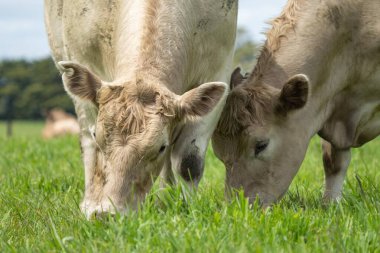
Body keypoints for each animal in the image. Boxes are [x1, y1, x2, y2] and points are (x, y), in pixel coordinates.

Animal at [44, 0, 238, 217]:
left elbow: (189, 161)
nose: (108, 213)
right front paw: (91, 205)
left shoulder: (218, 71)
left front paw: (186, 210)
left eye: (160, 147)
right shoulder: (83, 60)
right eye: (98, 136)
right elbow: (91, 148)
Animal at [212, 0, 380, 207]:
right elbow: (333, 161)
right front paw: (330, 204)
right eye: (219, 153)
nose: (238, 207)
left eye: (261, 145)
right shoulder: (330, 104)